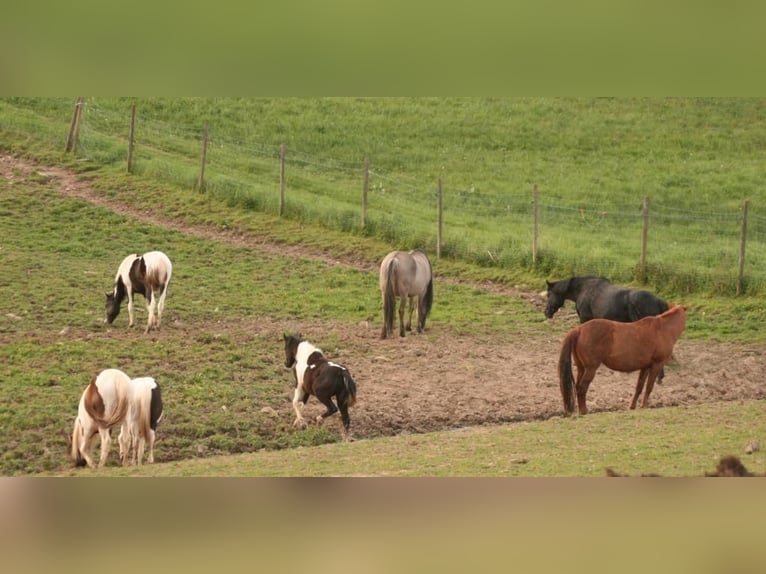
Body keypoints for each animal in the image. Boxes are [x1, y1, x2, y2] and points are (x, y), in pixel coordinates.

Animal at [560, 304, 688, 416]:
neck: (663, 329)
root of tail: (579, 329)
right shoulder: (657, 364)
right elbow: (649, 387)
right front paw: (644, 405)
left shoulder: (645, 367)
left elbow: (639, 387)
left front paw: (632, 406)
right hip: (590, 368)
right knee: (582, 388)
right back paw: (584, 411)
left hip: (581, 368)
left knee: (577, 387)